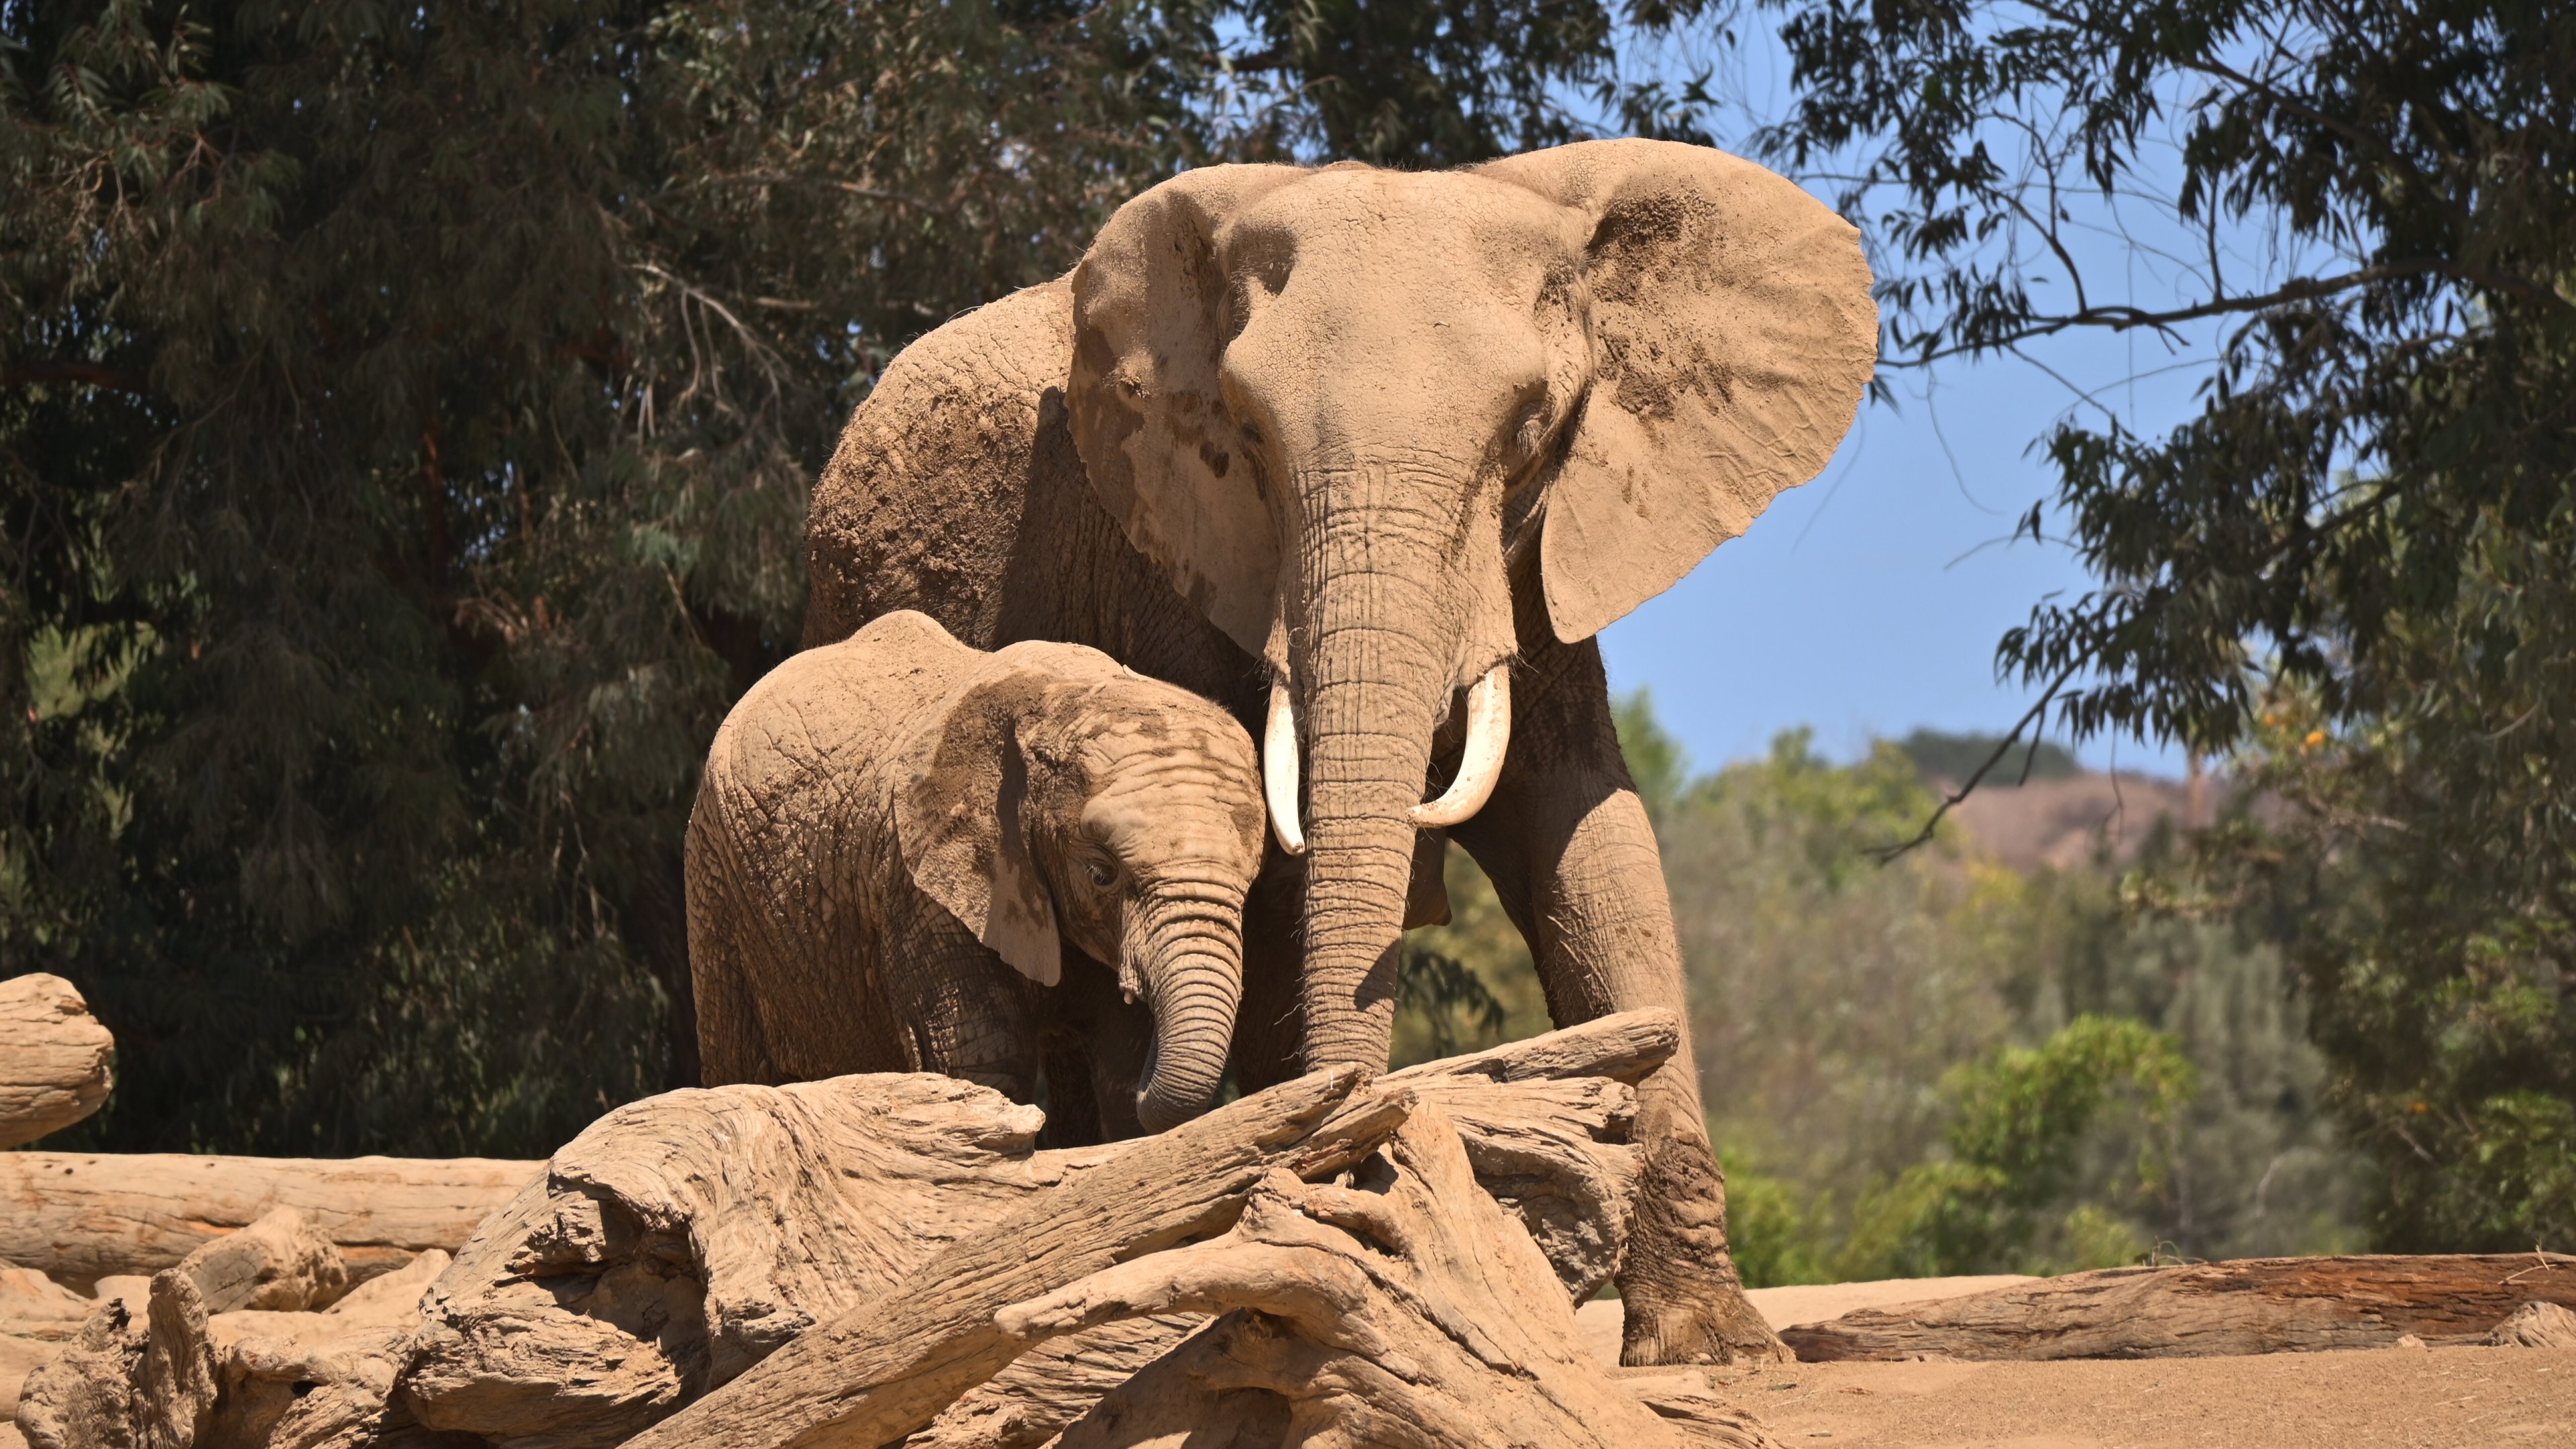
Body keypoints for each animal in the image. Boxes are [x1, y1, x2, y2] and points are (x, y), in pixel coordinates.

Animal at [684, 609, 1268, 1142]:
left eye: (1250, 881)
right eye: (1102, 874)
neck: (1062, 703)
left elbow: (1119, 1065)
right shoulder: (921, 886)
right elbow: (985, 1059)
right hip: (712, 877)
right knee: (738, 1062)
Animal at [802, 139, 1876, 1361]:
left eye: (1528, 430)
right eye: (1248, 436)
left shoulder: (1547, 549)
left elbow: (1590, 844)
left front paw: (1712, 1348)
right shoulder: (1176, 551)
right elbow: (1280, 893)